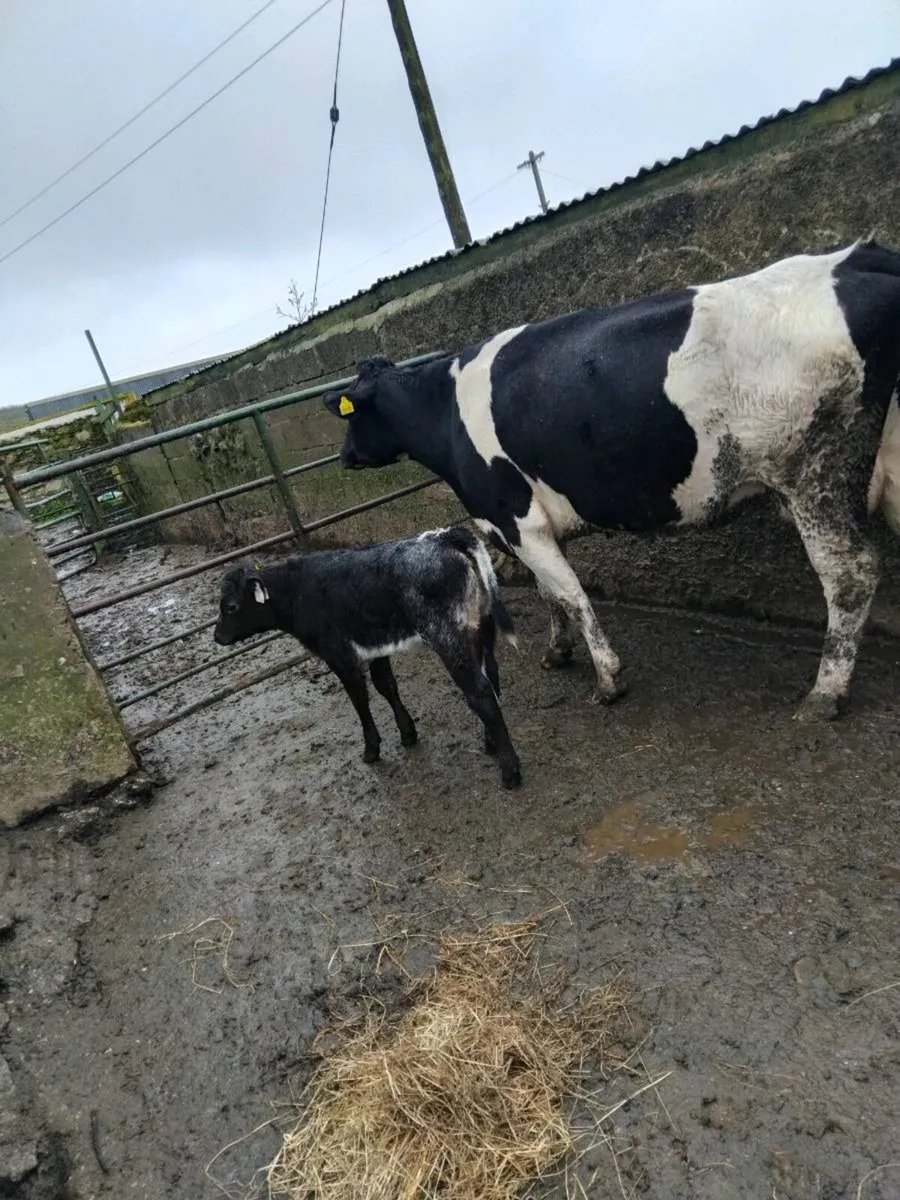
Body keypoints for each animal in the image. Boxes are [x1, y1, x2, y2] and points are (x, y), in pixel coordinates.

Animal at [212, 527, 522, 788]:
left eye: (231, 606)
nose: (217, 637)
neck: (297, 591)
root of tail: (447, 536)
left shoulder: (338, 654)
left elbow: (359, 698)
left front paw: (371, 748)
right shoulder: (376, 648)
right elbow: (386, 685)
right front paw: (407, 732)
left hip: (447, 637)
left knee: (480, 692)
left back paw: (510, 770)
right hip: (482, 627)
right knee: (491, 676)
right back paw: (491, 743)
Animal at [323, 240, 900, 723]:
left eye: (352, 414)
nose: (344, 455)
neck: (445, 413)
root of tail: (858, 257)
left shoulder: (514, 516)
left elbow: (571, 594)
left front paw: (607, 677)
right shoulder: (525, 525)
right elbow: (550, 592)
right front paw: (557, 652)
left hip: (816, 470)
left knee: (851, 573)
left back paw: (825, 694)